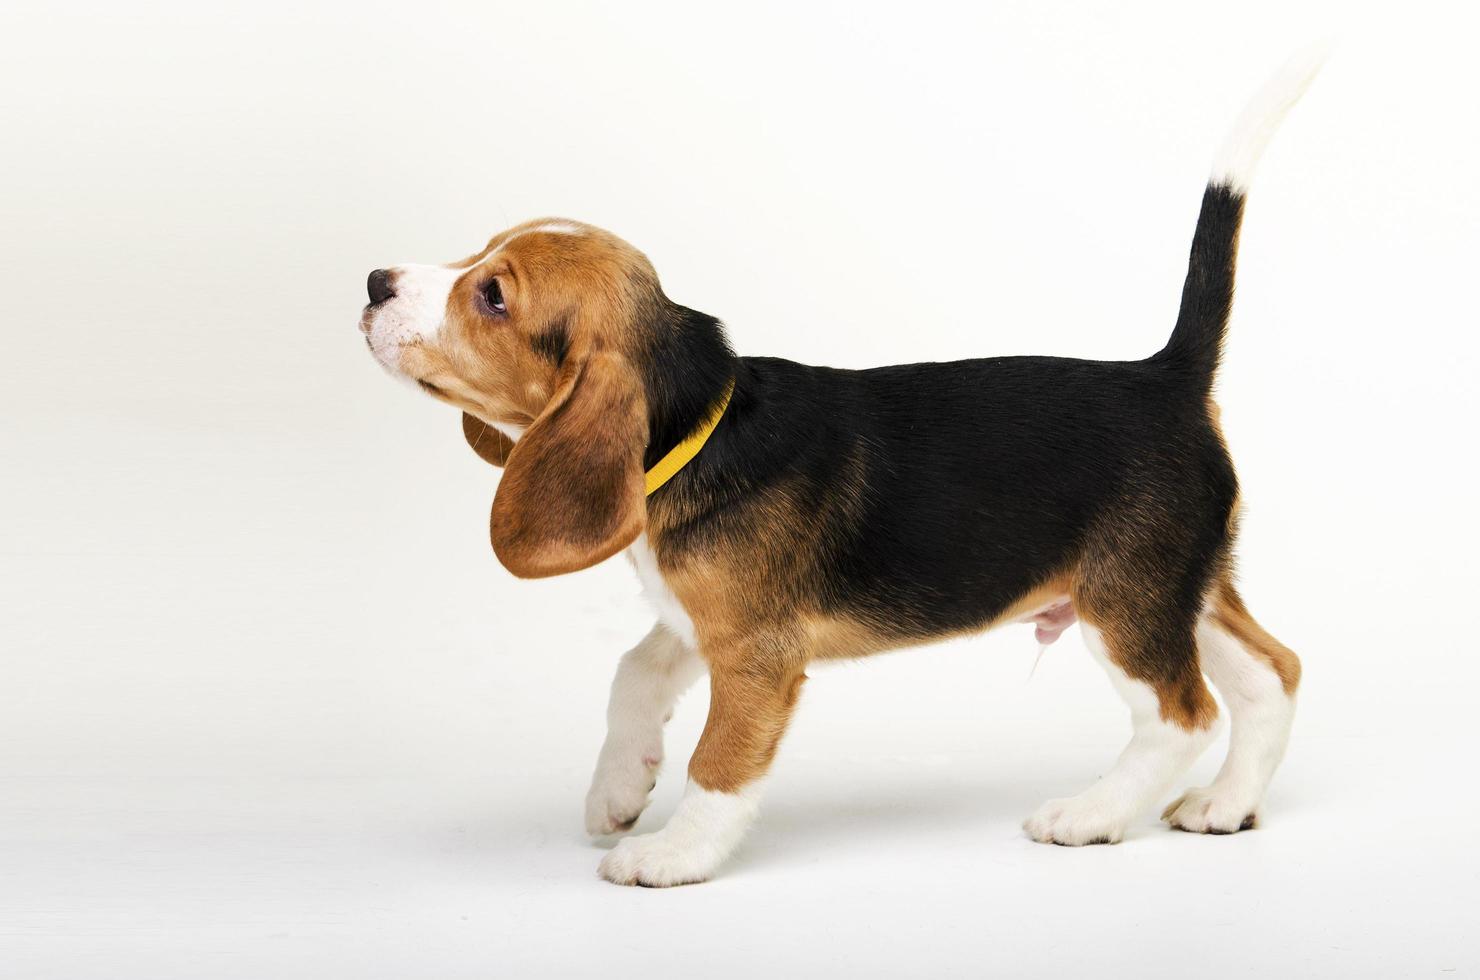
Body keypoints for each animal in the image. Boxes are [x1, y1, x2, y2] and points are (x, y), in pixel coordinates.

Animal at [355, 55, 1320, 888]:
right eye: (477, 252)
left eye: (492, 296)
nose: (373, 281)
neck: (705, 425)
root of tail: (1165, 375)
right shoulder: (697, 620)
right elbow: (633, 670)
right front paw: (618, 788)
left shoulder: (756, 654)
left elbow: (720, 761)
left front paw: (672, 853)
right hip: (1184, 588)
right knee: (1272, 673)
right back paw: (1228, 804)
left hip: (1124, 602)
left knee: (1182, 714)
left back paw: (1092, 813)